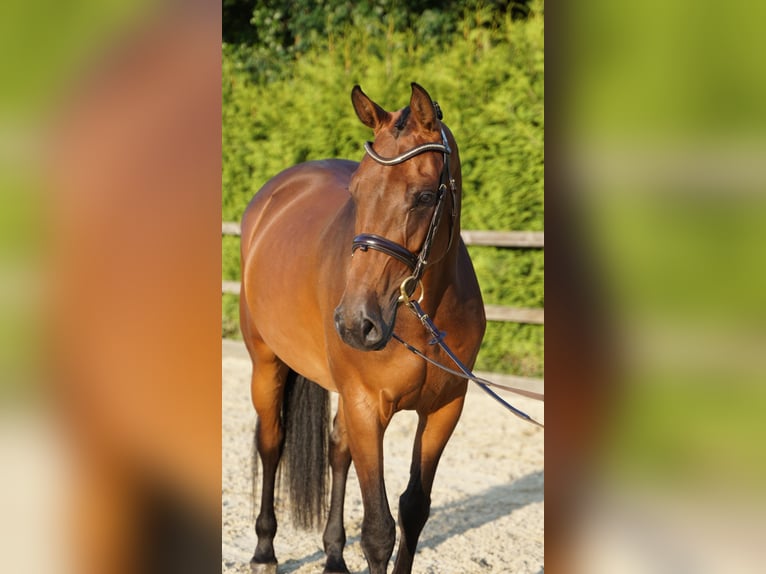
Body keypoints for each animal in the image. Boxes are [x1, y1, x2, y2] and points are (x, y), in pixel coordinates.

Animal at [239, 82, 486, 574]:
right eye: (356, 191)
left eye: (425, 196)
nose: (356, 322)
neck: (421, 317)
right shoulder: (367, 406)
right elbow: (377, 530)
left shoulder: (445, 409)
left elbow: (414, 509)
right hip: (266, 362)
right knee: (271, 442)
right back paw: (264, 551)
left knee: (337, 450)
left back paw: (334, 555)